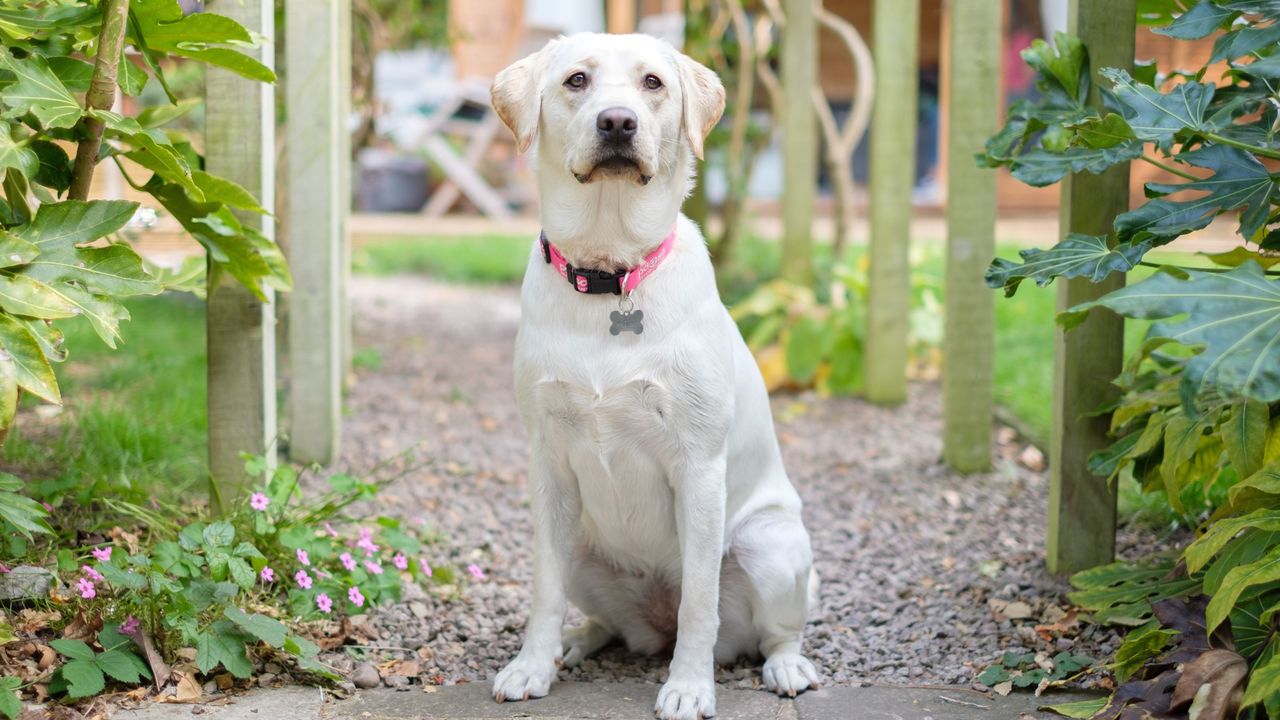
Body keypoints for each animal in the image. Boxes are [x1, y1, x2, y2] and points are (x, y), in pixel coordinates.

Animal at [488, 30, 819, 712]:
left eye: (653, 83)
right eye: (577, 80)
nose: (618, 122)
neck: (610, 274)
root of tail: (652, 623)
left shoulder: (698, 467)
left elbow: (699, 603)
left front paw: (689, 687)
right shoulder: (548, 465)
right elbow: (543, 592)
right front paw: (531, 667)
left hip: (768, 543)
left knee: (772, 632)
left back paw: (784, 667)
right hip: (585, 547)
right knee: (604, 621)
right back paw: (575, 643)